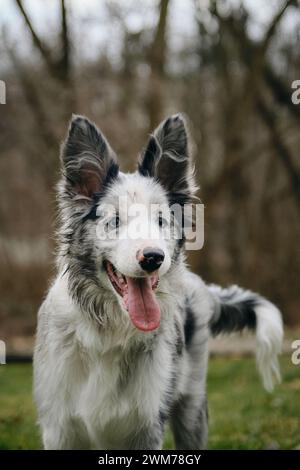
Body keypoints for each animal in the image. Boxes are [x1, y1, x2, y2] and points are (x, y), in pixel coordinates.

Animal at [33, 113, 284, 448]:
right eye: (114, 221)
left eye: (162, 220)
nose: (153, 257)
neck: (109, 330)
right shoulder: (59, 428)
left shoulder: (147, 426)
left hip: (192, 408)